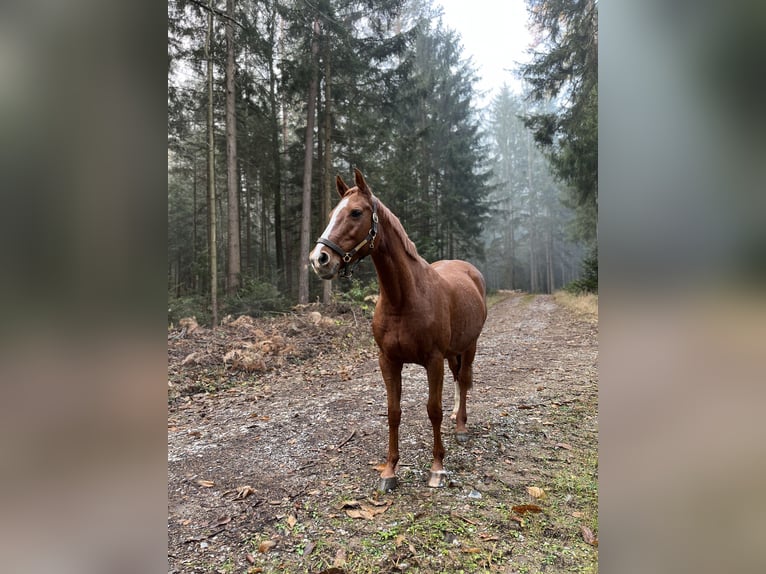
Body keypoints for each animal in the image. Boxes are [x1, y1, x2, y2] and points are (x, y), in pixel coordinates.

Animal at [309, 168, 487, 491]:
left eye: (356, 212)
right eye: (332, 214)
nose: (320, 259)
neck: (404, 299)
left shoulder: (433, 361)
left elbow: (433, 410)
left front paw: (437, 468)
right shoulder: (388, 361)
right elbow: (393, 413)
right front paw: (389, 470)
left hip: (469, 346)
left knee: (464, 380)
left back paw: (461, 427)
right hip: (453, 352)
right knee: (459, 379)